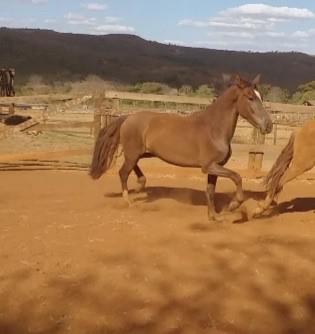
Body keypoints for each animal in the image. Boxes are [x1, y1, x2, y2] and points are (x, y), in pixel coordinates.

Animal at [90, 75, 272, 222]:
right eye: (250, 97)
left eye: (261, 97)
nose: (268, 125)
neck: (214, 129)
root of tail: (128, 117)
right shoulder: (209, 166)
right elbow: (237, 177)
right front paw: (234, 205)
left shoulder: (214, 168)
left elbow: (210, 191)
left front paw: (214, 217)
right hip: (134, 153)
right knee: (123, 173)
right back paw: (128, 201)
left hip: (140, 153)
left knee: (132, 169)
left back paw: (141, 184)